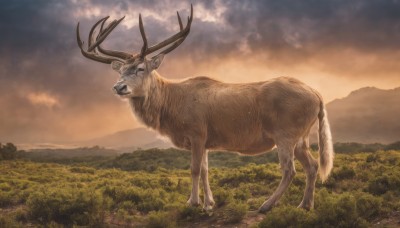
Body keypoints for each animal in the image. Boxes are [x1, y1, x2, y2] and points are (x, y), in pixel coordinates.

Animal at [76, 4, 332, 213]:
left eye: (140, 68)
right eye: (120, 70)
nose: (119, 87)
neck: (171, 105)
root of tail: (318, 96)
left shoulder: (197, 132)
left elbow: (195, 169)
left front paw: (193, 202)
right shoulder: (207, 138)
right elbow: (207, 169)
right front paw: (210, 203)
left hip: (285, 133)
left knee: (290, 169)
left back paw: (266, 205)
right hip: (301, 137)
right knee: (313, 165)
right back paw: (305, 205)